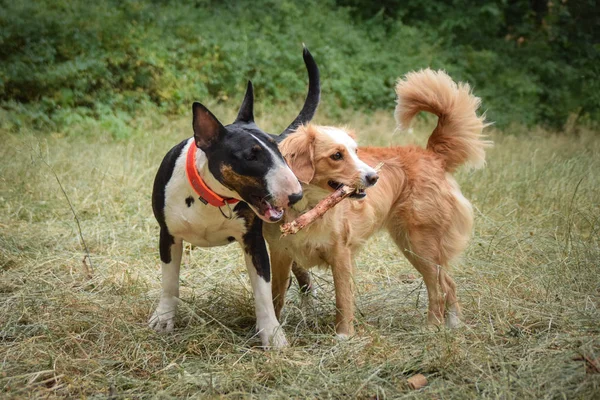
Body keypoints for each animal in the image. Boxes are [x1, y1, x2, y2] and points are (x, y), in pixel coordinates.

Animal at [150, 48, 318, 346]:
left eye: (279, 150)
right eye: (251, 156)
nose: (296, 195)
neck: (212, 197)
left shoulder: (254, 241)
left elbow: (262, 291)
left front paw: (272, 334)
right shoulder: (168, 235)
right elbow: (169, 281)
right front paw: (164, 319)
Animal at [264, 69, 490, 338]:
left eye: (356, 151)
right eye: (336, 155)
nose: (374, 177)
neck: (307, 208)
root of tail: (431, 154)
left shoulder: (341, 254)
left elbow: (343, 299)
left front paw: (344, 336)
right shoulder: (280, 255)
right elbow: (276, 298)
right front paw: (274, 332)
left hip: (419, 244)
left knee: (436, 288)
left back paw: (432, 327)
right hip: (418, 245)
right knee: (448, 282)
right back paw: (454, 323)